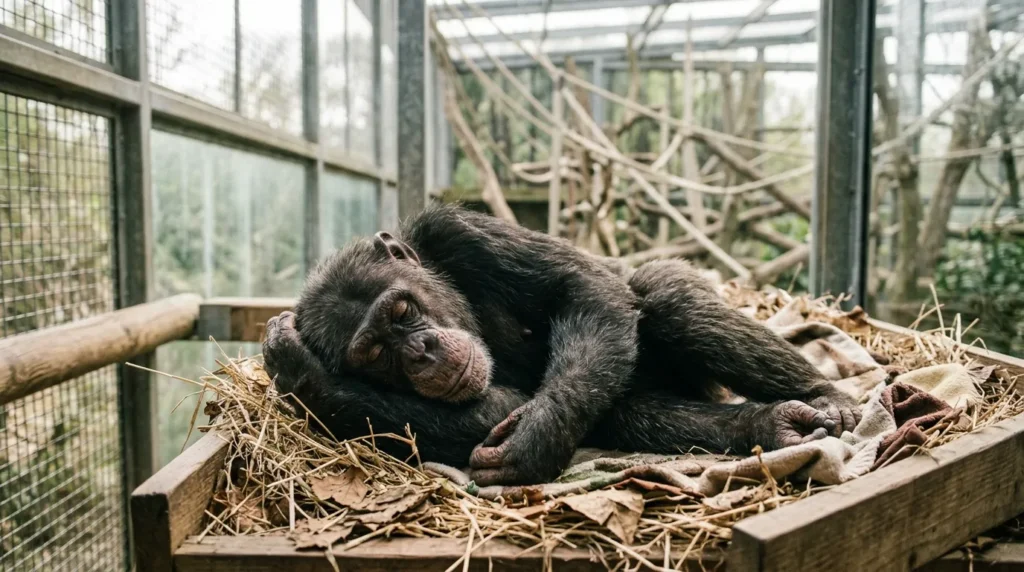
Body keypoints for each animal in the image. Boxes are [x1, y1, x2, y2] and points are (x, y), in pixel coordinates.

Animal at [263, 204, 861, 486]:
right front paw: (296, 367)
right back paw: (772, 426)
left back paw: (823, 396)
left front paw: (533, 439)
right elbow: (494, 412)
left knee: (662, 294)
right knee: (628, 411)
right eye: (373, 355)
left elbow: (581, 286)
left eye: (402, 313)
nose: (420, 352)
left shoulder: (459, 232)